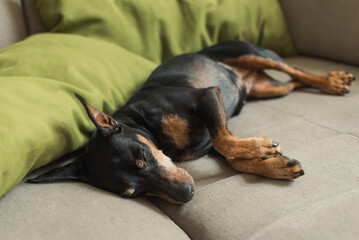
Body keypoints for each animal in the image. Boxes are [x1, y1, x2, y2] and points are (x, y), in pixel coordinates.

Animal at [26, 40, 356, 203]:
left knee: (296, 70)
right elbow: (230, 151)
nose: (187, 195)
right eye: (132, 193)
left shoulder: (206, 95)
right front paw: (272, 163)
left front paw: (263, 151)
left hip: (250, 54)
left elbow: (225, 142)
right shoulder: (211, 132)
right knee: (293, 82)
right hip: (269, 89)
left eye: (143, 156)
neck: (147, 126)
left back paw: (331, 80)